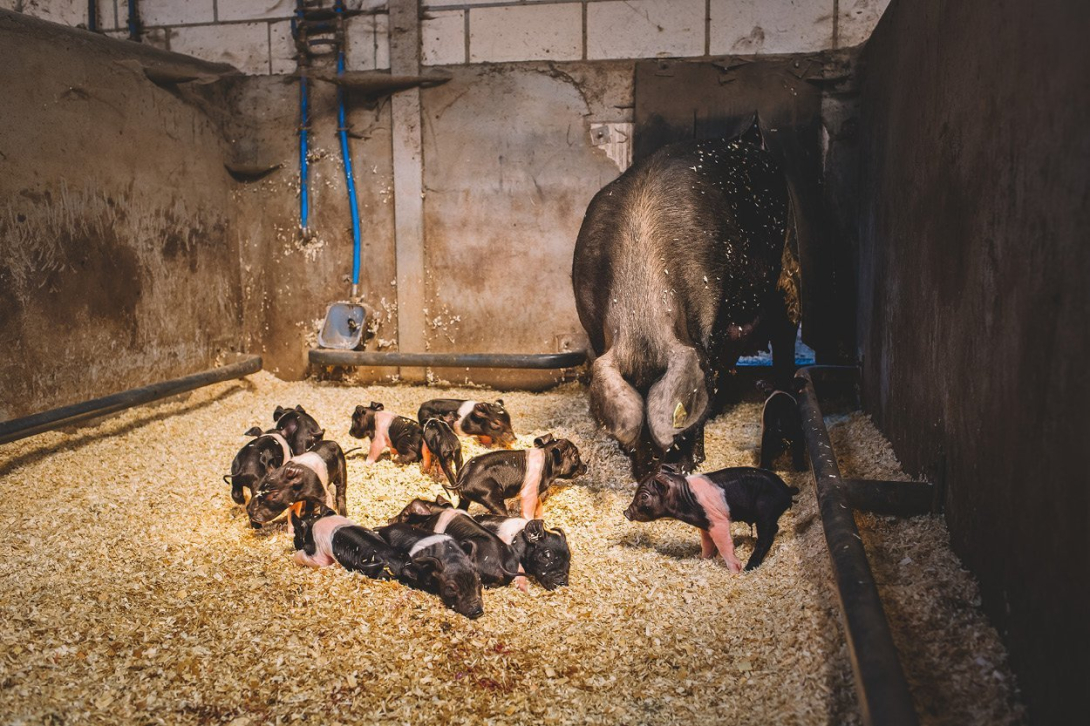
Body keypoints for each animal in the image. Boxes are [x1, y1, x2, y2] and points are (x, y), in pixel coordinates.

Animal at [571, 118, 802, 475]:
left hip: (787, 259)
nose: (654, 470)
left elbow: (712, 373)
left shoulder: (712, 322)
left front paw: (695, 460)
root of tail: (748, 139)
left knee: (785, 328)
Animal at [627, 464, 797, 571]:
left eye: (644, 496)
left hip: (766, 512)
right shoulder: (705, 524)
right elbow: (707, 544)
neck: (685, 498)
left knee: (766, 538)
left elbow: (725, 545)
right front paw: (704, 560)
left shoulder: (718, 522)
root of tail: (787, 490)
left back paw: (749, 568)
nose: (625, 512)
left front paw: (735, 571)